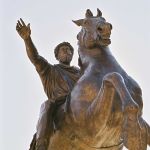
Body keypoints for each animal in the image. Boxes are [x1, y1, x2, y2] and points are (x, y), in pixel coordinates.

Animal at [48, 8, 150, 149]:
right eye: (85, 22)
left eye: (103, 19)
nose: (105, 28)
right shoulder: (91, 128)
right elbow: (113, 76)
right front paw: (132, 130)